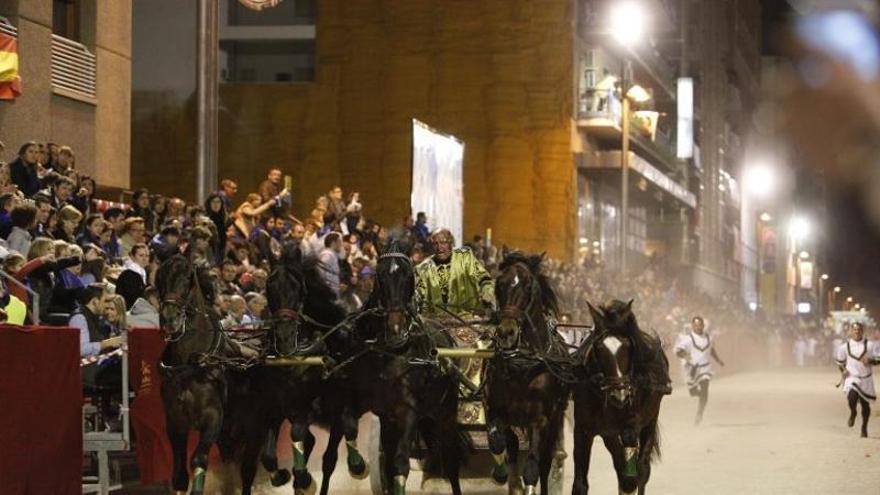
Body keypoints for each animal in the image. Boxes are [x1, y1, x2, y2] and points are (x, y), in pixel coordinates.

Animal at [156, 254, 248, 494]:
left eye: (188, 277)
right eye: (160, 277)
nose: (169, 318)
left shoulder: (213, 417)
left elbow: (198, 459)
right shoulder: (175, 421)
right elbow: (179, 476)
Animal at [348, 242, 468, 494]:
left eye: (408, 276)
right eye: (380, 276)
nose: (396, 328)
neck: (394, 353)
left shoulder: (409, 411)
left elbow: (400, 463)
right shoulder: (380, 411)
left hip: (445, 412)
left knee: (450, 460)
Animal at [488, 254, 572, 495]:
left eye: (527, 286)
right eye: (499, 284)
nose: (506, 332)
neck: (523, 365)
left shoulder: (540, 419)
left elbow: (533, 467)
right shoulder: (497, 409)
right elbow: (498, 442)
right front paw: (502, 475)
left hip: (555, 420)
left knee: (544, 462)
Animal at [576, 298, 672, 495]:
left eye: (627, 346)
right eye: (599, 348)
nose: (619, 393)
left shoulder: (632, 424)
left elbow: (632, 477)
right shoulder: (583, 429)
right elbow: (580, 484)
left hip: (650, 420)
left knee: (641, 470)